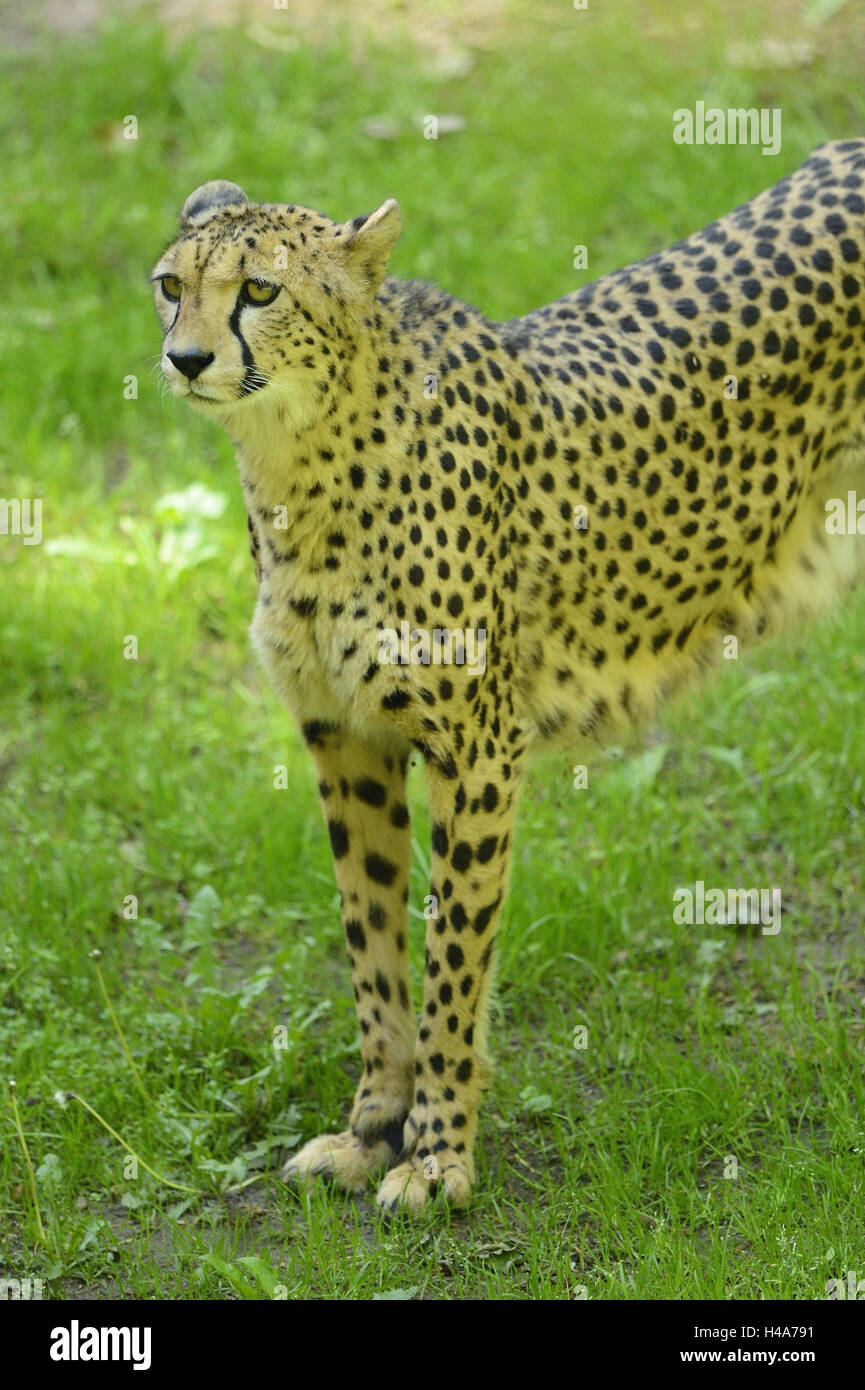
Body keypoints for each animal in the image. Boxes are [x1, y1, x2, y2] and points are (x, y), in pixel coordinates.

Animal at [152, 140, 865, 1212]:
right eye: (171, 287)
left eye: (260, 291)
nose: (186, 359)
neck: (303, 463)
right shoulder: (343, 739)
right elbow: (372, 945)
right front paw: (371, 1130)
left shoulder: (478, 750)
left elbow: (451, 960)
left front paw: (438, 1153)